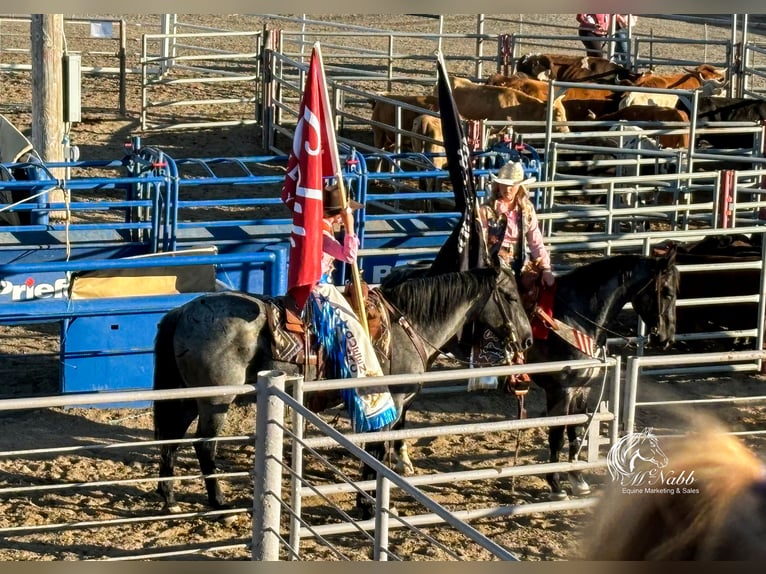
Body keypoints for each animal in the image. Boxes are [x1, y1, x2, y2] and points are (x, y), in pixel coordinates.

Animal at [151, 264, 536, 520]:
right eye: (511, 295)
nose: (529, 338)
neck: (407, 324)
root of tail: (181, 312)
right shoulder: (392, 402)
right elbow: (378, 452)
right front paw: (368, 506)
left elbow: (375, 451)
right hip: (215, 399)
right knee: (204, 446)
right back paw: (219, 503)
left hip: (186, 396)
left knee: (172, 438)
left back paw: (168, 498)